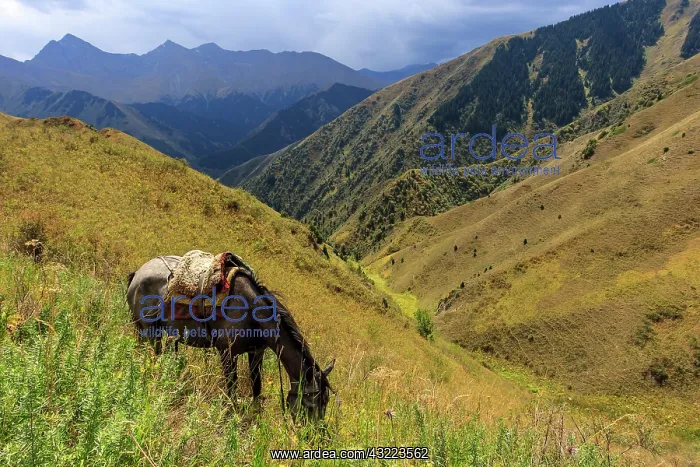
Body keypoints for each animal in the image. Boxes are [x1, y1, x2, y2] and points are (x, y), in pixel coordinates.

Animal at [126, 255, 335, 420]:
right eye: (310, 406)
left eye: (325, 403)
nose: (313, 436)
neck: (252, 313)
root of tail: (137, 273)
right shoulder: (227, 352)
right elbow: (232, 388)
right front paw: (231, 415)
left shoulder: (256, 353)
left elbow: (256, 386)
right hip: (148, 331)